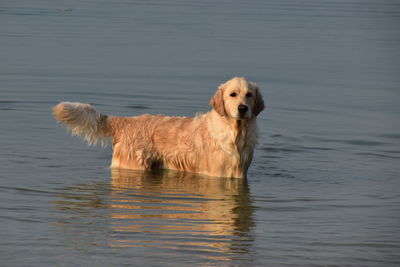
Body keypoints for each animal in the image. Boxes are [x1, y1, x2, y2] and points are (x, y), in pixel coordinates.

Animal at [53, 77, 266, 178]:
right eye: (232, 94)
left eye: (249, 94)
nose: (242, 108)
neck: (235, 133)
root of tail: (126, 121)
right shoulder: (217, 174)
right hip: (133, 165)